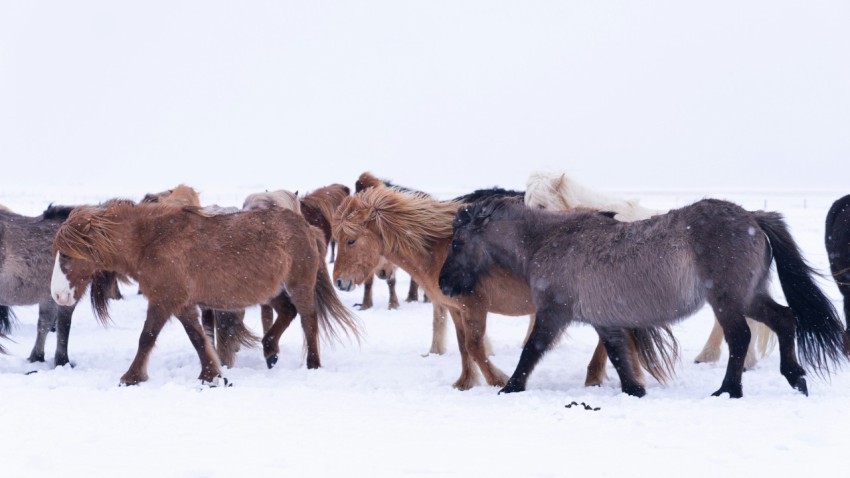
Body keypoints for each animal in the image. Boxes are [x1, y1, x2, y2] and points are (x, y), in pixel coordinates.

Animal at [1, 204, 121, 364]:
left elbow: (44, 324)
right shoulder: (67, 297)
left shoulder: (49, 298)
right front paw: (62, 360)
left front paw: (37, 357)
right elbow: (63, 327)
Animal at [51, 199, 360, 385]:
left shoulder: (163, 301)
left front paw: (131, 377)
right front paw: (212, 375)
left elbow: (146, 338)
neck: (150, 240)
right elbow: (198, 339)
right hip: (272, 291)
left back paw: (312, 364)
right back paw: (270, 351)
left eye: (65, 255)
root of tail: (308, 228)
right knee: (288, 312)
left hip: (299, 285)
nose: (57, 296)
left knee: (308, 319)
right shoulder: (182, 304)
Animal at [333, 186, 677, 390]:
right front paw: (464, 382)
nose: (339, 282)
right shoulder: (456, 310)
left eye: (350, 240)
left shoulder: (474, 307)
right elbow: (464, 347)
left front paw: (496, 378)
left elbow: (476, 347)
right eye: (336, 239)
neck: (438, 249)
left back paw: (597, 377)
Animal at [438, 196, 846, 397]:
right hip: (749, 297)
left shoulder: (554, 313)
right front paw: (635, 391)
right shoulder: (605, 322)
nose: (443, 285)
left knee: (740, 338)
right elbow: (619, 357)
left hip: (728, 301)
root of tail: (752, 217)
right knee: (784, 319)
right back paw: (796, 378)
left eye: (457, 243)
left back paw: (729, 391)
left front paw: (510, 387)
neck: (549, 241)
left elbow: (531, 351)